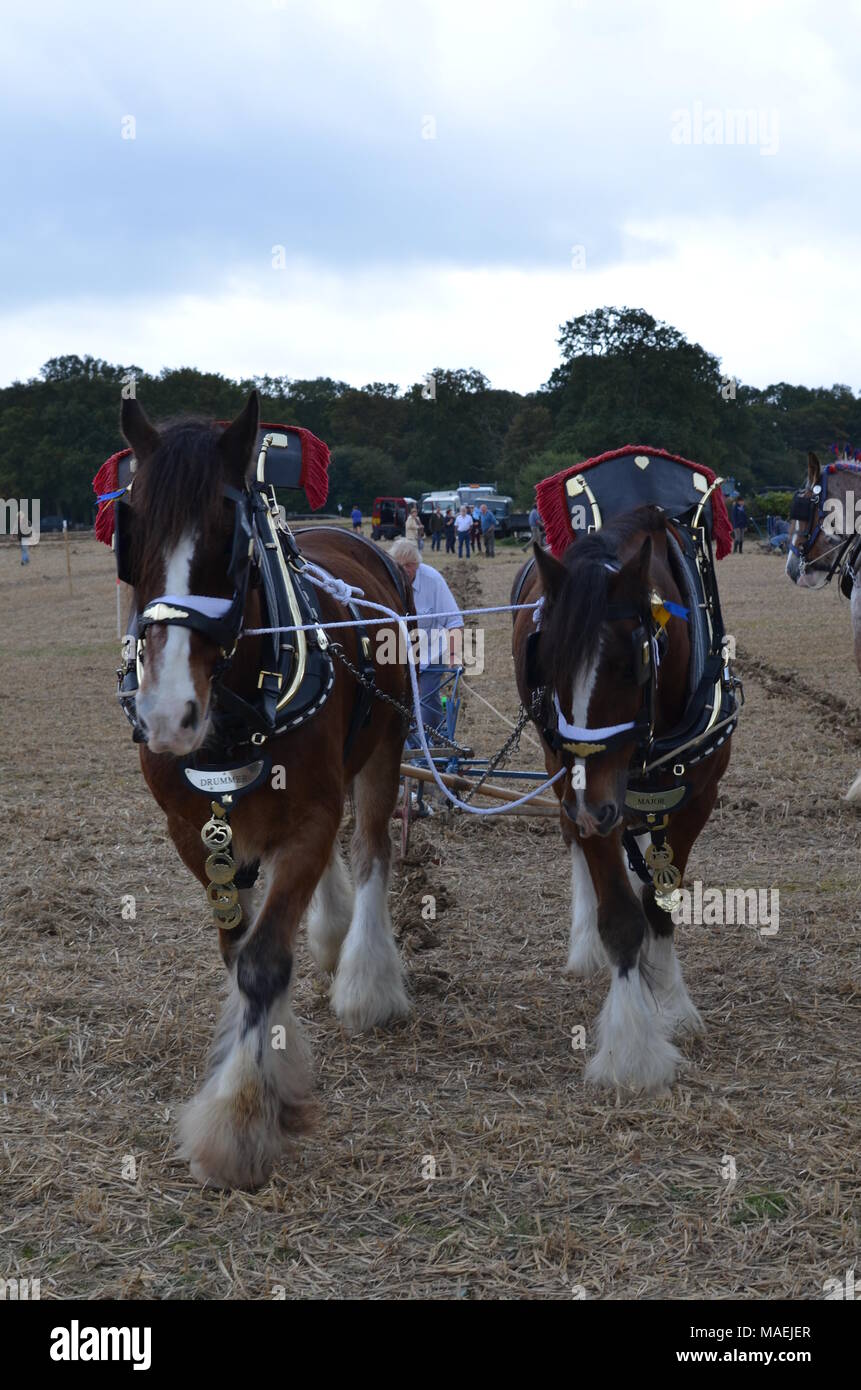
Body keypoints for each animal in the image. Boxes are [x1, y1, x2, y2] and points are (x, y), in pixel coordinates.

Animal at [116, 389, 411, 1184]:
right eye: (131, 529)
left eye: (229, 538)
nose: (167, 713)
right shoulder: (196, 834)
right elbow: (238, 949)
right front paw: (263, 1067)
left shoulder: (309, 815)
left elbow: (263, 960)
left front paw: (240, 1115)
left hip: (385, 749)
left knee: (371, 849)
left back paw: (365, 977)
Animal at [511, 505, 734, 1089]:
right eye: (547, 661)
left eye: (630, 664)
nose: (592, 808)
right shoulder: (584, 789)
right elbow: (620, 916)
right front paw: (632, 1049)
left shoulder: (696, 799)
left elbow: (659, 901)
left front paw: (672, 1004)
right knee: (575, 841)